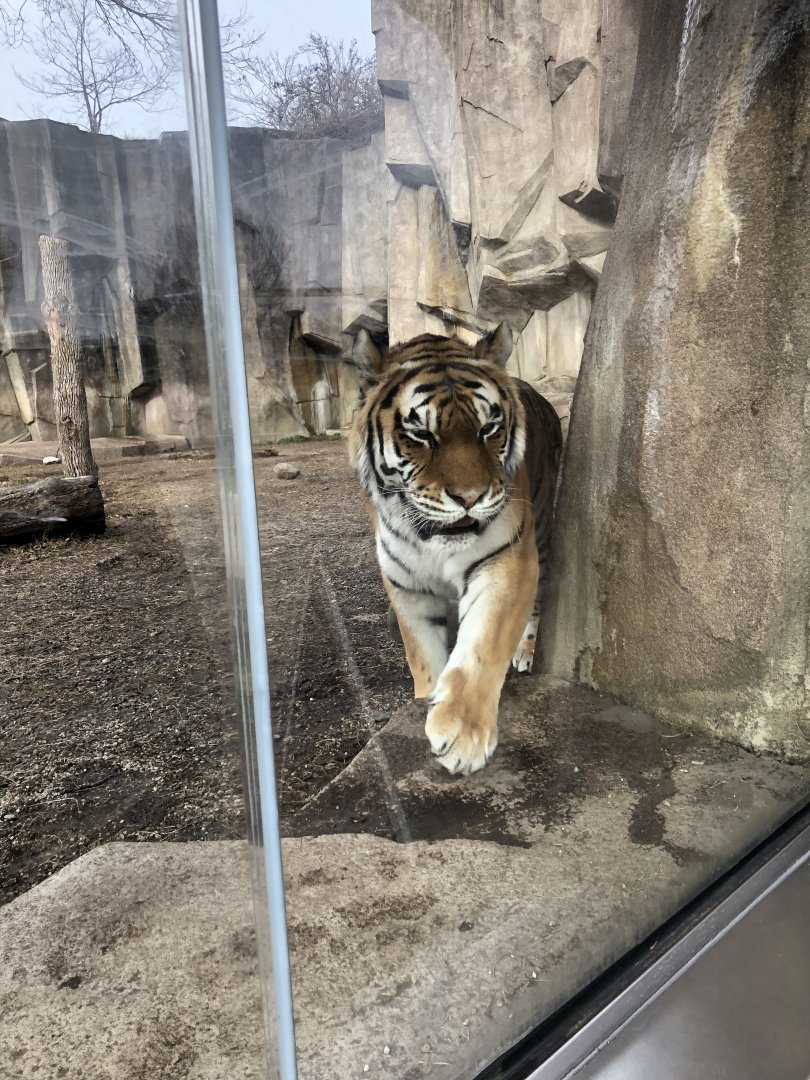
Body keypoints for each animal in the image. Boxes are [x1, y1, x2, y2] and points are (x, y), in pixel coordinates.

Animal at [348, 323, 562, 776]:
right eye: (421, 435)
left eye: (488, 429)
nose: (470, 498)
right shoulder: (405, 583)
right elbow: (424, 657)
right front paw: (425, 699)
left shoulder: (507, 559)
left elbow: (482, 645)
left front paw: (463, 734)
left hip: (543, 532)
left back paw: (526, 652)